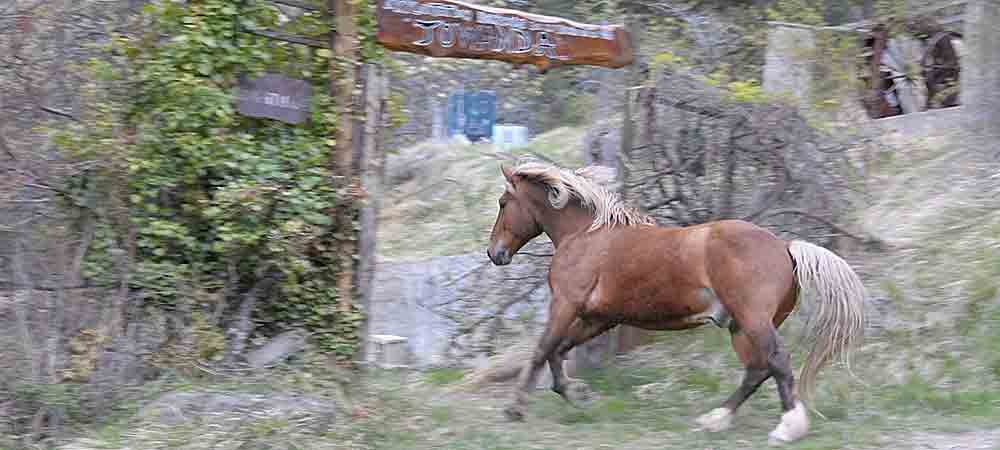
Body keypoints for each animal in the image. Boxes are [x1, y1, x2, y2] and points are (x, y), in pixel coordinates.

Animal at [485, 162, 867, 445]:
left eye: (503, 203)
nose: (494, 254)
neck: (586, 235)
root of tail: (786, 248)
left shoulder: (566, 305)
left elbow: (543, 350)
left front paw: (516, 408)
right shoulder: (599, 317)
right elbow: (558, 350)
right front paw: (577, 394)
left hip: (753, 321)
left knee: (777, 363)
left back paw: (787, 428)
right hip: (740, 326)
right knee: (757, 370)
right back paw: (716, 419)